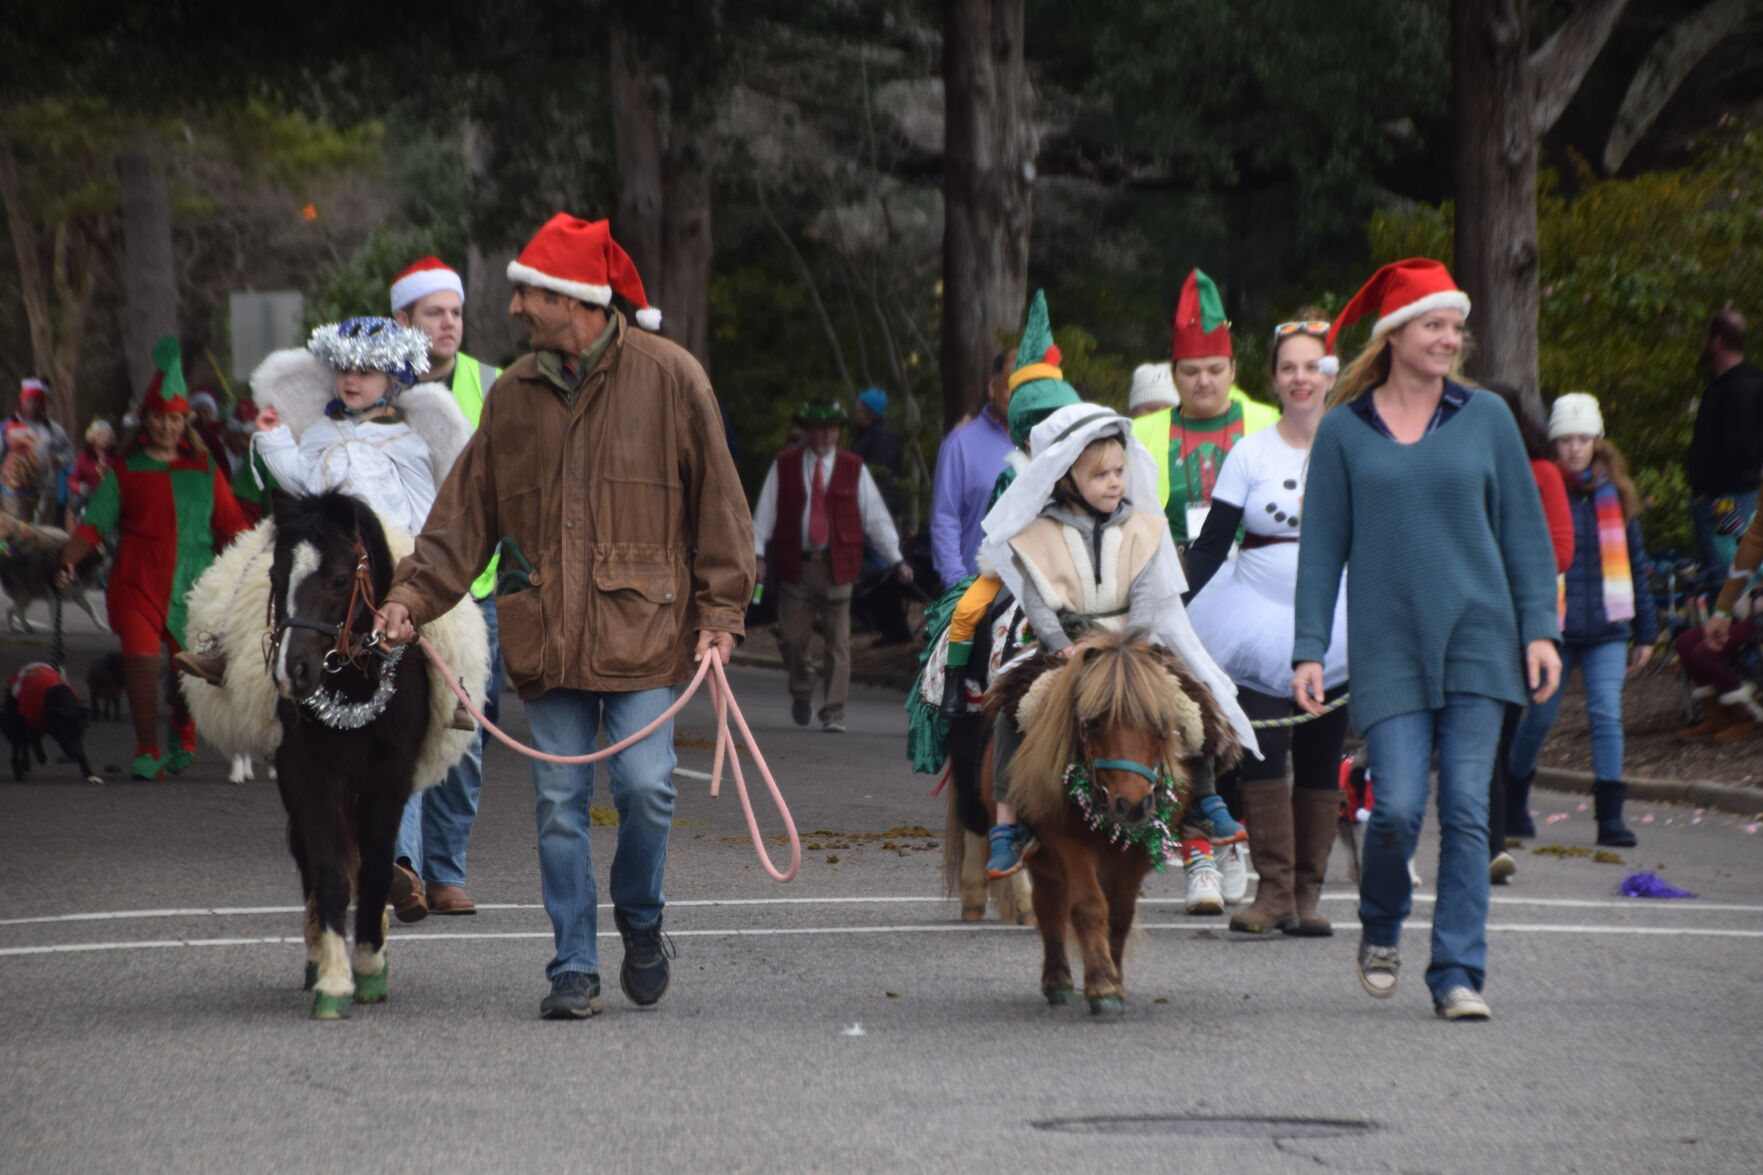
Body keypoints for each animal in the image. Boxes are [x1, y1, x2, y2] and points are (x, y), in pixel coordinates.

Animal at [987, 628, 1248, 1009]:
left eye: (1160, 723)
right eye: (1094, 722)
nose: (1132, 806)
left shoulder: (1137, 853)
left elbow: (1120, 914)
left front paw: (1114, 978)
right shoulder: (1066, 843)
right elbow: (1089, 907)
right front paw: (1102, 984)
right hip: (1042, 858)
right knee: (1050, 907)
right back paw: (1057, 980)